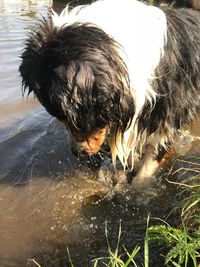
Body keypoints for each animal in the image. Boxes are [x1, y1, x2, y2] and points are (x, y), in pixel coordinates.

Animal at [19, 0, 200, 188]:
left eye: (73, 118)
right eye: (60, 118)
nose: (77, 153)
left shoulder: (166, 117)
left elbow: (147, 166)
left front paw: (137, 188)